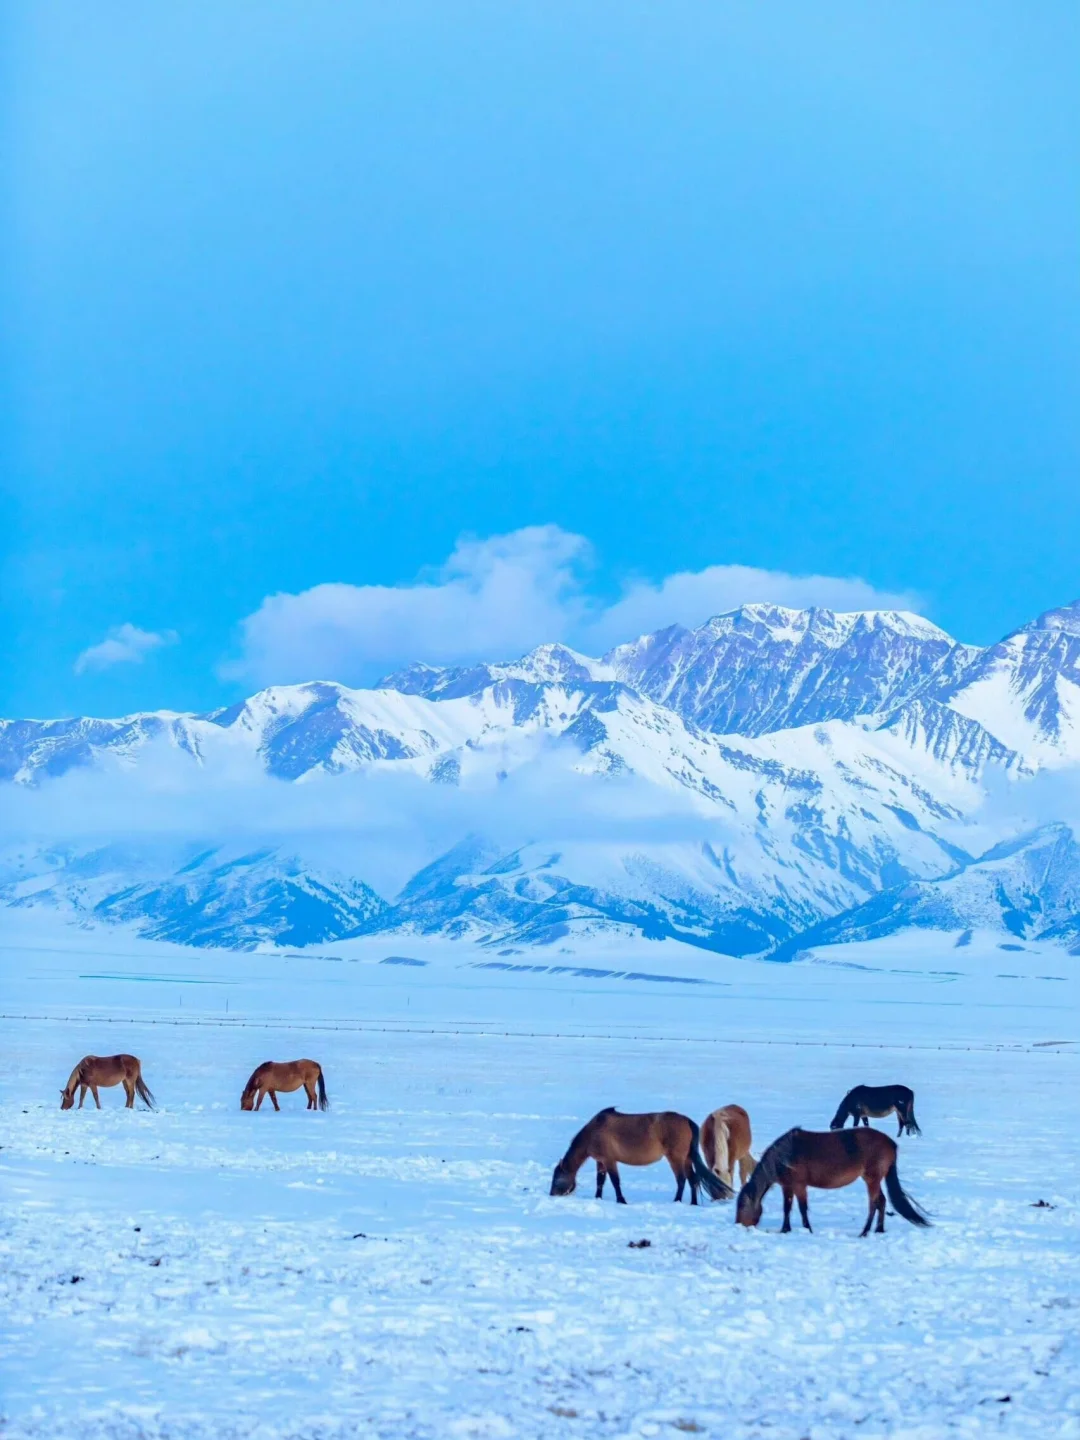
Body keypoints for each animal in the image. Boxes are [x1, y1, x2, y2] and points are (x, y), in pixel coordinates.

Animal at [550, 1105, 737, 1209]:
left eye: (557, 1178)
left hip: (675, 1158)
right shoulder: (601, 1161)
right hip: (686, 1159)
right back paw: (693, 1203)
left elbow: (615, 1181)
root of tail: (687, 1121)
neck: (594, 1131)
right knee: (693, 1180)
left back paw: (676, 1200)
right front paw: (598, 1198)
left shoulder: (610, 1160)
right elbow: (600, 1181)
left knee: (681, 1179)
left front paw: (621, 1200)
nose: (552, 1195)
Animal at [737, 1123, 933, 1238]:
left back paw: (864, 1232)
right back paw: (879, 1229)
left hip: (872, 1178)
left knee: (874, 1203)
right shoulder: (787, 1186)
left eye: (742, 1206)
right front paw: (785, 1230)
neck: (785, 1155)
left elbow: (802, 1208)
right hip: (875, 1179)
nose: (738, 1224)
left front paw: (807, 1229)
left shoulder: (799, 1185)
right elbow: (787, 1208)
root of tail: (891, 1143)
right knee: (882, 1201)